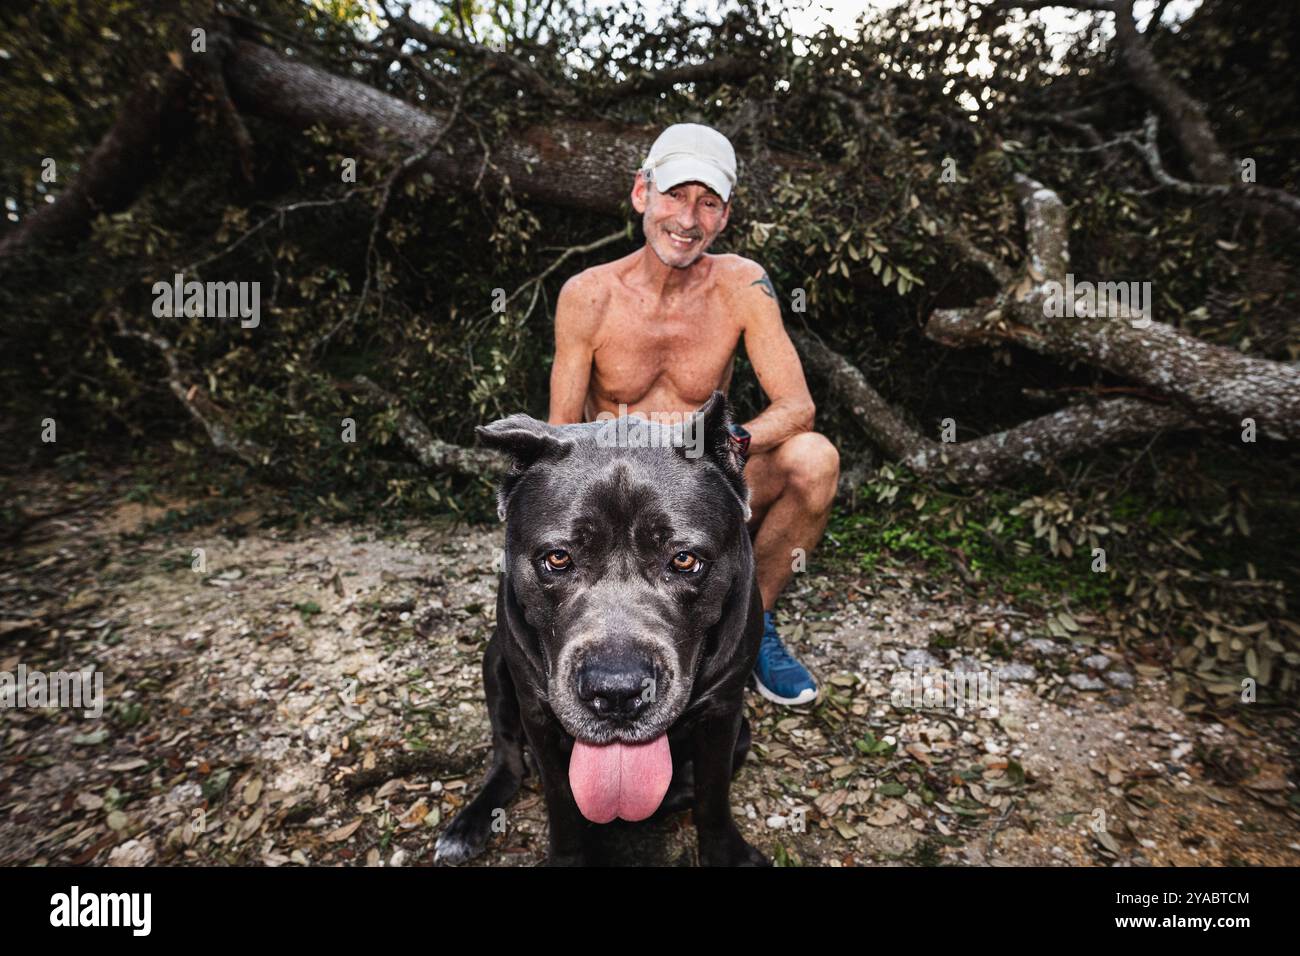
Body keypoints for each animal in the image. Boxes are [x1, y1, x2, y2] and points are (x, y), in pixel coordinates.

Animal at [431, 390, 764, 868]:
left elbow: (713, 795)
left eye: (684, 559)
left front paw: (727, 854)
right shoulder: (538, 713)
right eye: (557, 558)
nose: (618, 692)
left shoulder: (724, 710)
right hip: (495, 663)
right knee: (508, 758)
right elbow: (562, 804)